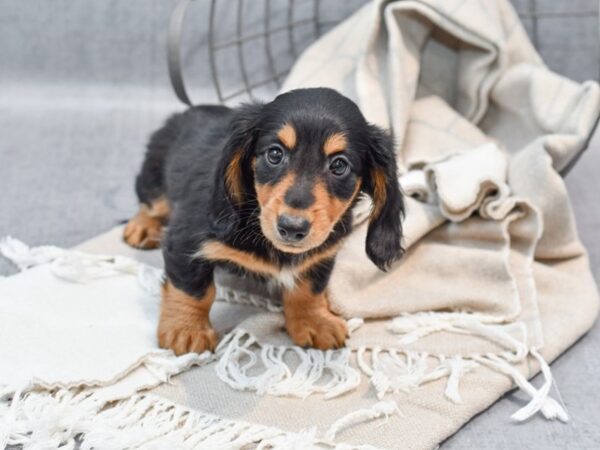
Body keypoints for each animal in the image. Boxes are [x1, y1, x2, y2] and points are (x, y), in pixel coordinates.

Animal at [123, 87, 404, 356]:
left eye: (339, 165)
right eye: (275, 154)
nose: (292, 227)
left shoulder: (321, 255)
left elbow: (309, 289)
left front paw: (314, 320)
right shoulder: (184, 240)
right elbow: (193, 289)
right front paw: (187, 329)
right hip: (154, 177)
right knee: (151, 202)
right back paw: (142, 226)